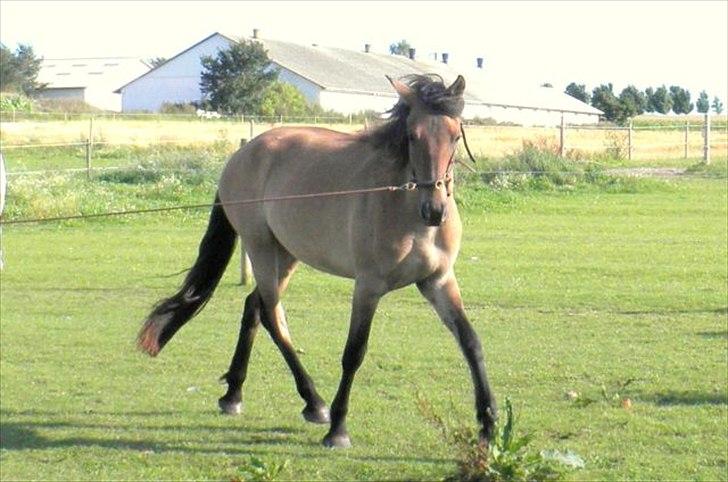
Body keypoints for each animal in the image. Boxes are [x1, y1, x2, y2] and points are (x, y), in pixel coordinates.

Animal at [136, 73, 498, 450]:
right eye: (413, 135)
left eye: (455, 135)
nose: (435, 210)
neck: (406, 210)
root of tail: (241, 155)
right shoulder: (368, 287)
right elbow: (354, 352)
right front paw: (338, 428)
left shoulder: (438, 280)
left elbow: (471, 342)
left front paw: (489, 425)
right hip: (261, 249)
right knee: (271, 316)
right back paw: (314, 403)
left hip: (286, 256)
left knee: (254, 307)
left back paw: (234, 394)